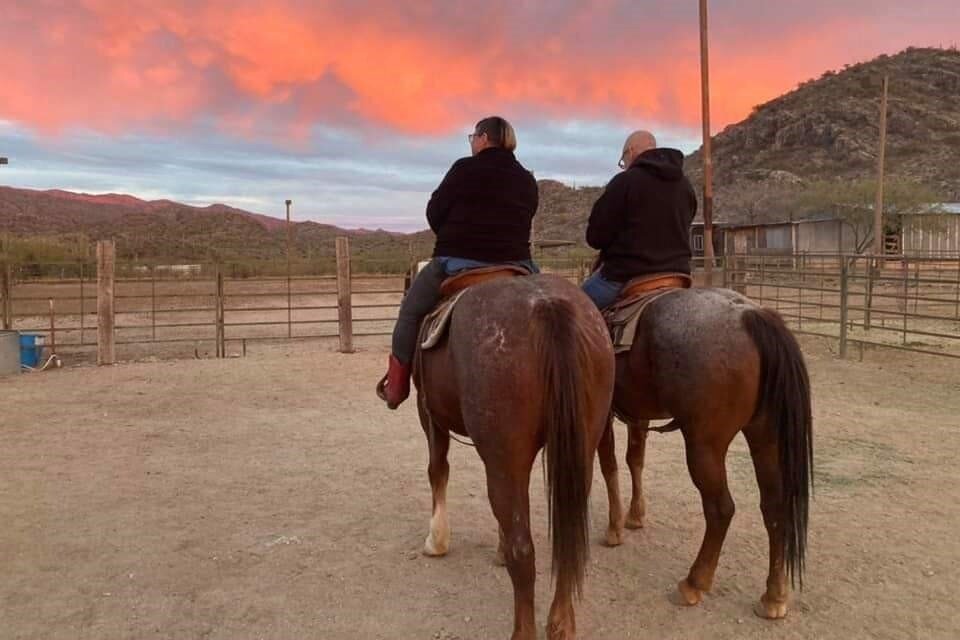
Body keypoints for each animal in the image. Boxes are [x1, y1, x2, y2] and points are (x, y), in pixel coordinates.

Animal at [414, 272, 616, 636]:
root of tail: (548, 306)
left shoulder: (430, 416)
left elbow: (437, 469)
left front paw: (436, 541)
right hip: (579, 452)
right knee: (566, 536)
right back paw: (561, 622)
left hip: (506, 459)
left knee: (522, 549)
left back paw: (524, 630)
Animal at [600, 284, 808, 620]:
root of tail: (750, 315)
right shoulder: (636, 413)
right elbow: (635, 460)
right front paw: (634, 516)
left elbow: (609, 464)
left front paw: (614, 529)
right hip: (766, 437)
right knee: (774, 507)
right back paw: (774, 596)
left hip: (704, 446)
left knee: (721, 509)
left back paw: (693, 583)